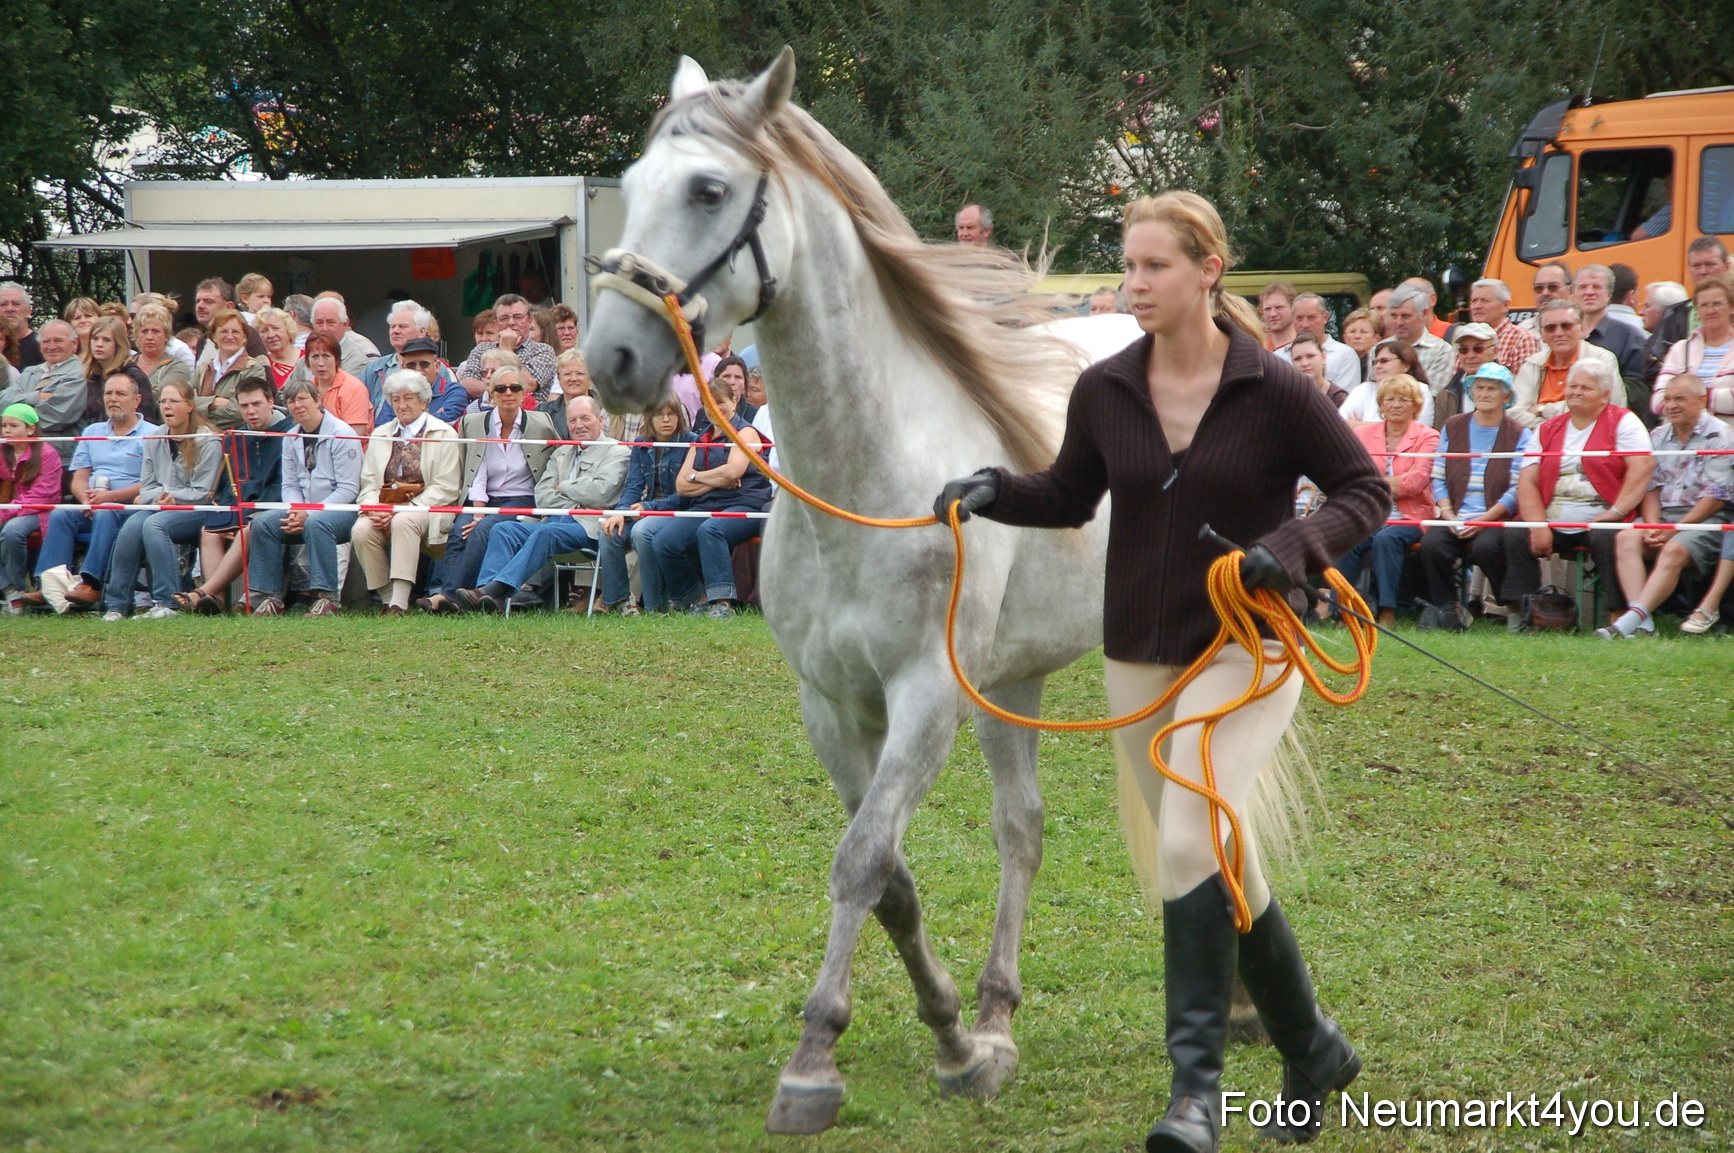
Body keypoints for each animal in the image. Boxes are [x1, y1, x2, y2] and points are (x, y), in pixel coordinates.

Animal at [582, 47, 1304, 1136]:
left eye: (708, 189)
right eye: (628, 185)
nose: (611, 361)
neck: (865, 480)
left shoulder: (926, 699)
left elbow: (861, 860)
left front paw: (813, 1062)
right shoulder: (833, 707)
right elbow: (891, 879)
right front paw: (955, 1032)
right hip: (1014, 682)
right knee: (1026, 828)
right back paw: (1008, 1012)